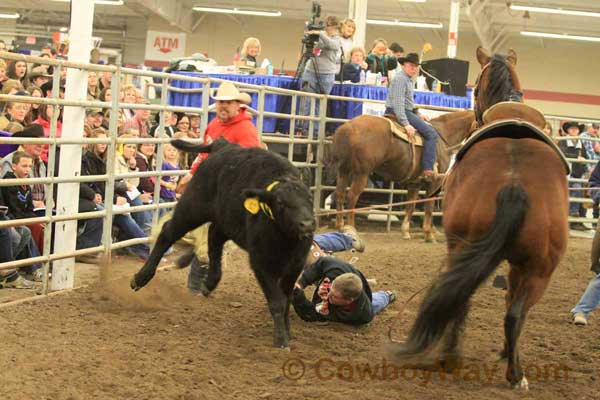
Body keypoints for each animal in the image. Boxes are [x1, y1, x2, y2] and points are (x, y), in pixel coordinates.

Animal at [330, 109, 476, 241]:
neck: (444, 137)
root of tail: (347, 128)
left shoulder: (414, 183)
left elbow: (410, 206)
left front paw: (405, 232)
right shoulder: (434, 182)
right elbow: (429, 207)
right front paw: (428, 234)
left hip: (343, 171)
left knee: (339, 194)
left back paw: (339, 227)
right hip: (361, 174)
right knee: (352, 197)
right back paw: (352, 229)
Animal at [386, 47, 568, 390]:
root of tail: (514, 184)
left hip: (469, 250)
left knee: (468, 302)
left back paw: (452, 358)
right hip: (539, 269)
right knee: (515, 313)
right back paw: (514, 372)